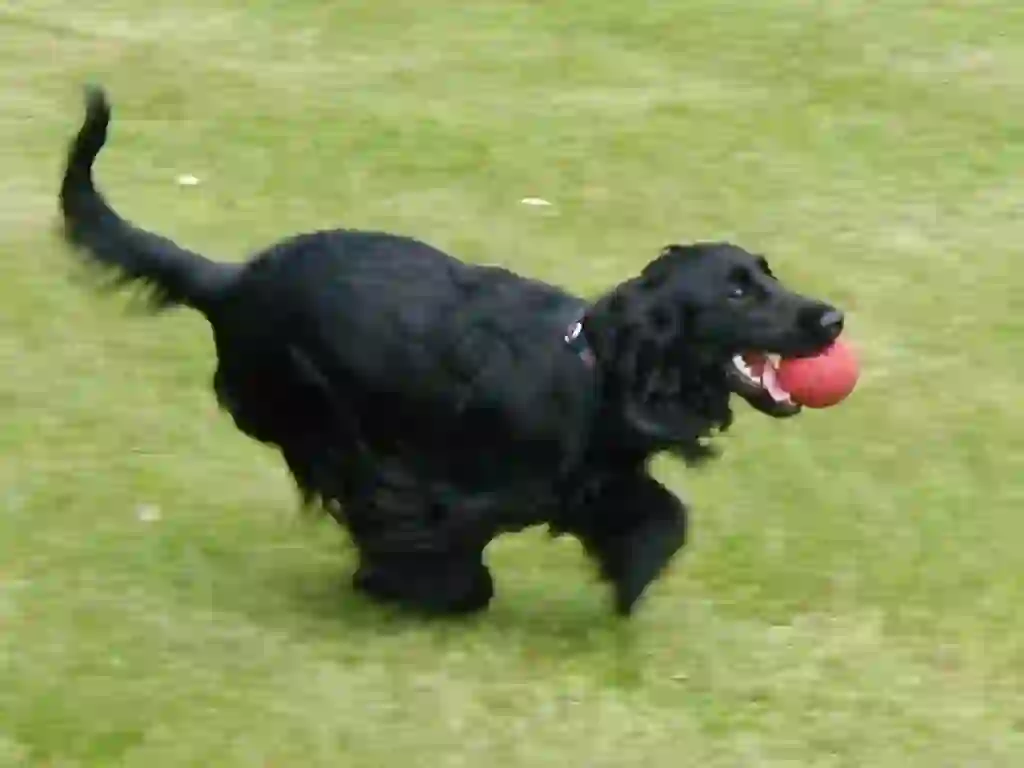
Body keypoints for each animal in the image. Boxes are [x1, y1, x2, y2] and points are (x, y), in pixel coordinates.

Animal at [56, 87, 843, 618]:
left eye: (768, 272)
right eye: (737, 291)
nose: (832, 319)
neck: (595, 368)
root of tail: (233, 278)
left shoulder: (595, 480)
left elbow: (660, 520)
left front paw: (629, 582)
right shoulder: (435, 490)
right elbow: (430, 542)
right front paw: (410, 587)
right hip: (306, 403)